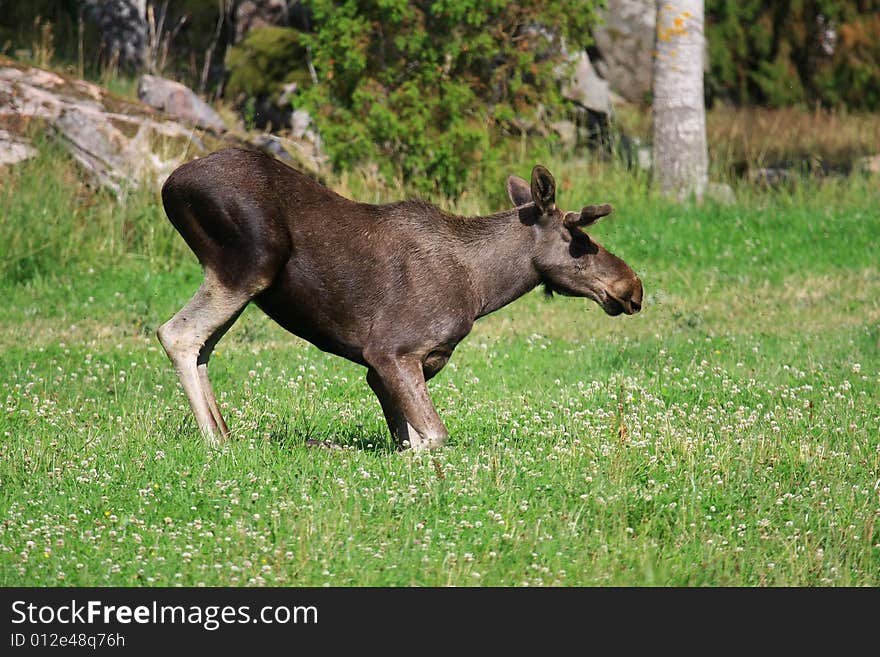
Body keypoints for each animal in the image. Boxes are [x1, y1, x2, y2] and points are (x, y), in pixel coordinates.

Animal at [156, 146, 640, 448]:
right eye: (579, 238)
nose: (632, 286)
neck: (483, 288)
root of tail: (168, 185)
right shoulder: (391, 350)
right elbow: (435, 438)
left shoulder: (388, 368)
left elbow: (410, 439)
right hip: (250, 265)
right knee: (176, 333)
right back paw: (216, 441)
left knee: (203, 346)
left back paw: (225, 431)